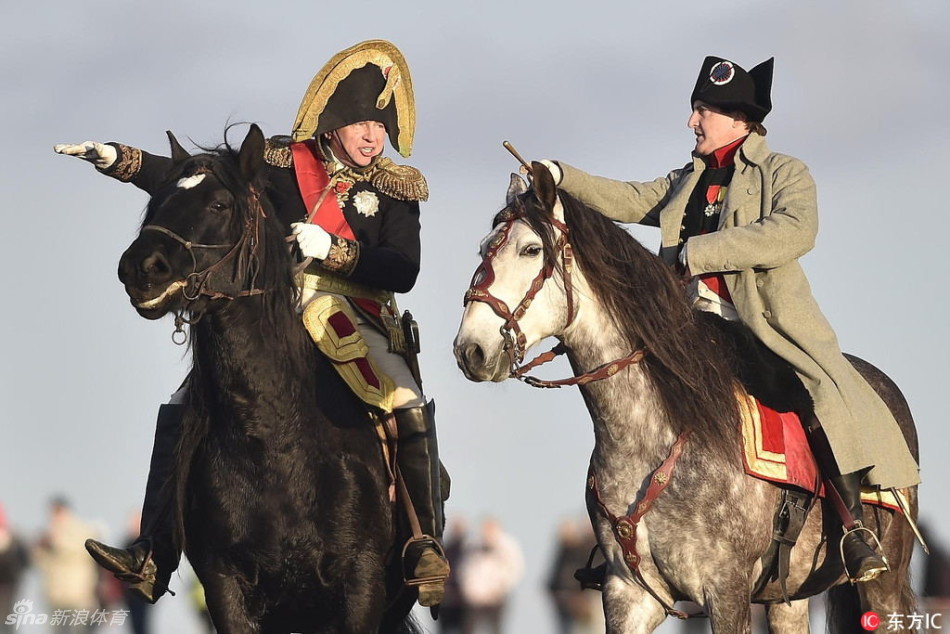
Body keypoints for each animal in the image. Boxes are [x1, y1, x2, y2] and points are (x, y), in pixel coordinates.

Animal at [114, 124, 416, 632]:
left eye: (220, 205)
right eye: (156, 201)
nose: (140, 268)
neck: (273, 440)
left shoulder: (362, 586)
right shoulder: (225, 587)